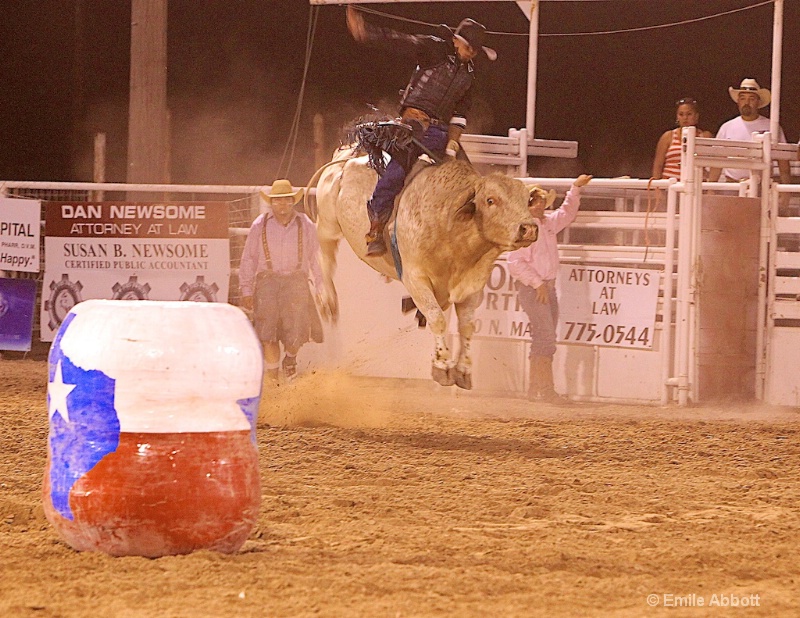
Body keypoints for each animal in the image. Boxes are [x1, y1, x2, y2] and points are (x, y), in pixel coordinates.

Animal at [306, 149, 536, 388]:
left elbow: (467, 327)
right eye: (491, 200)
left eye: (527, 200)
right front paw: (442, 366)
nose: (528, 228)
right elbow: (437, 318)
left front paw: (463, 370)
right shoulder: (415, 279)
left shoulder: (472, 286)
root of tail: (346, 156)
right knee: (325, 258)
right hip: (327, 225)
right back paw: (327, 302)